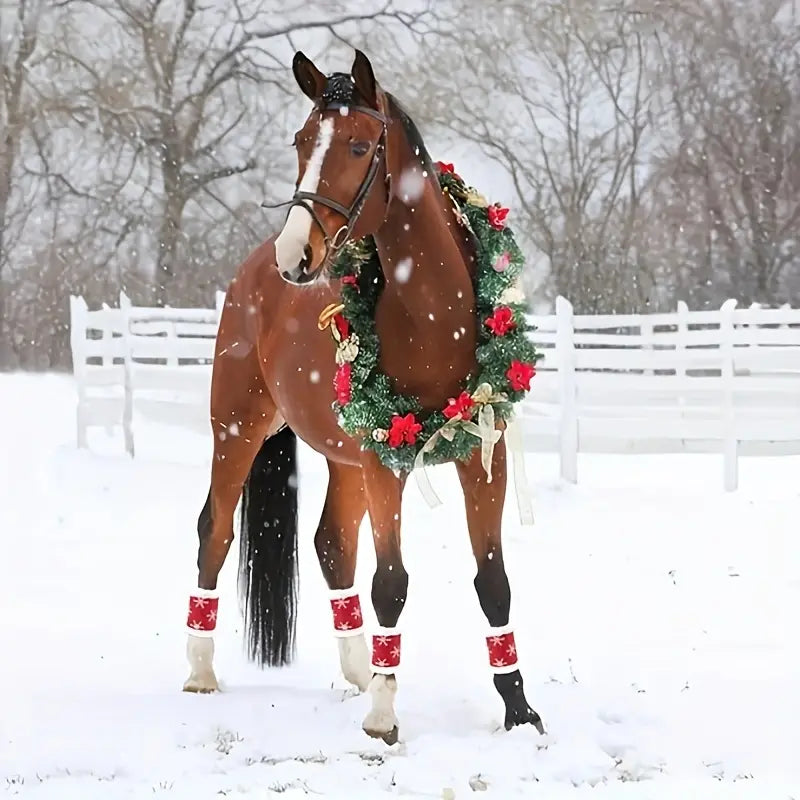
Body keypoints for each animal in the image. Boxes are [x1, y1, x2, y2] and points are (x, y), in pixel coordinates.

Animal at [181, 50, 544, 744]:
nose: (296, 253)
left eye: (355, 144)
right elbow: (392, 583)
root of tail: (253, 270)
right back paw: (201, 670)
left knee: (330, 544)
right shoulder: (386, 462)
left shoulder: (481, 457)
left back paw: (358, 669)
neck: (432, 313)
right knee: (215, 529)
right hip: (238, 428)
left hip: (344, 455)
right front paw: (383, 716)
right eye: (302, 141)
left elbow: (495, 583)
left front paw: (518, 709)